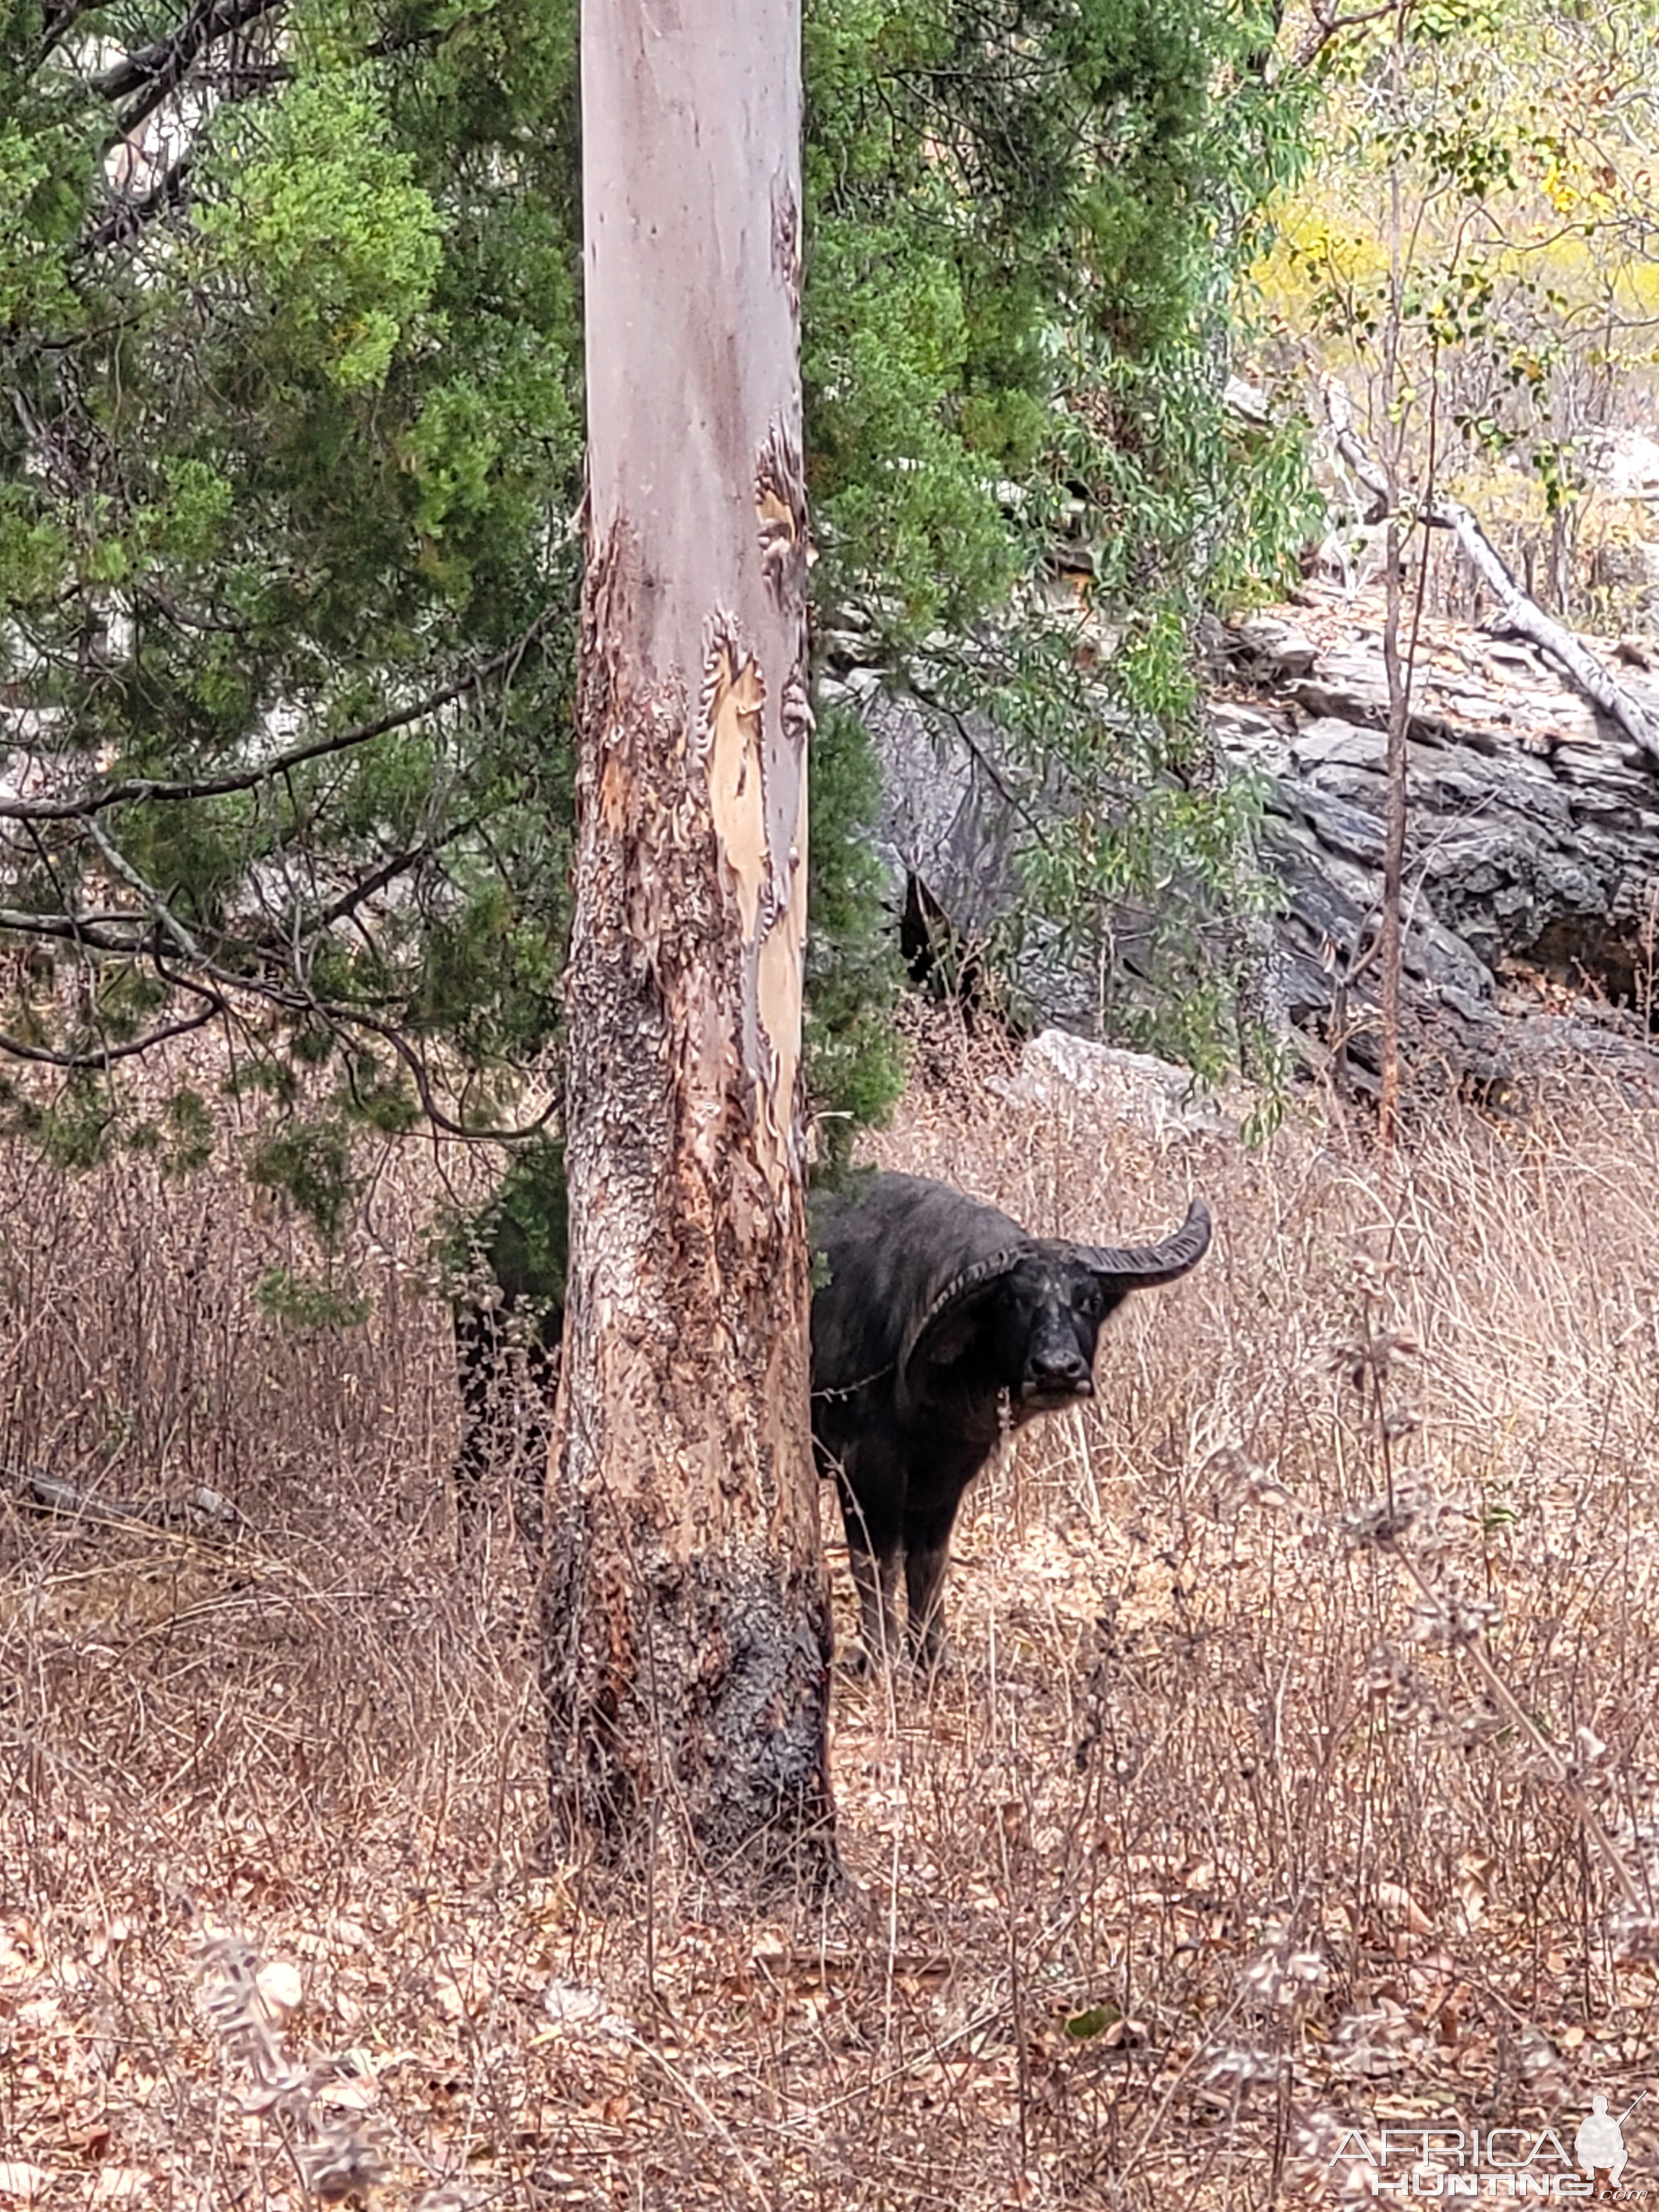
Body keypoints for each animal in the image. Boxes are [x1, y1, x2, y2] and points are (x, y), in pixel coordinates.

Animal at [814, 1167, 1212, 1663]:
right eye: (1011, 1301)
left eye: (1090, 1300)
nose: (1057, 1370)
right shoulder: (866, 1467)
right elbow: (876, 1564)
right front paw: (884, 1658)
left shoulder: (947, 1476)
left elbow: (928, 1563)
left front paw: (933, 1658)